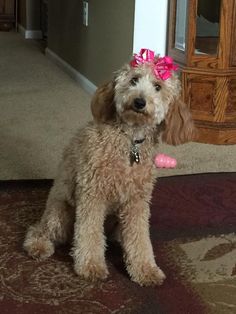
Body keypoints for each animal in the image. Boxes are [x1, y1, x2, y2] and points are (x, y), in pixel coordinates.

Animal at [24, 49, 195, 288]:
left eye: (158, 86)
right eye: (133, 79)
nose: (139, 101)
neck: (129, 141)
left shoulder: (137, 203)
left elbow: (140, 239)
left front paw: (145, 270)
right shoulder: (92, 195)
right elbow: (89, 234)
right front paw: (90, 267)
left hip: (115, 223)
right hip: (60, 215)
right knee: (40, 230)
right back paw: (37, 245)